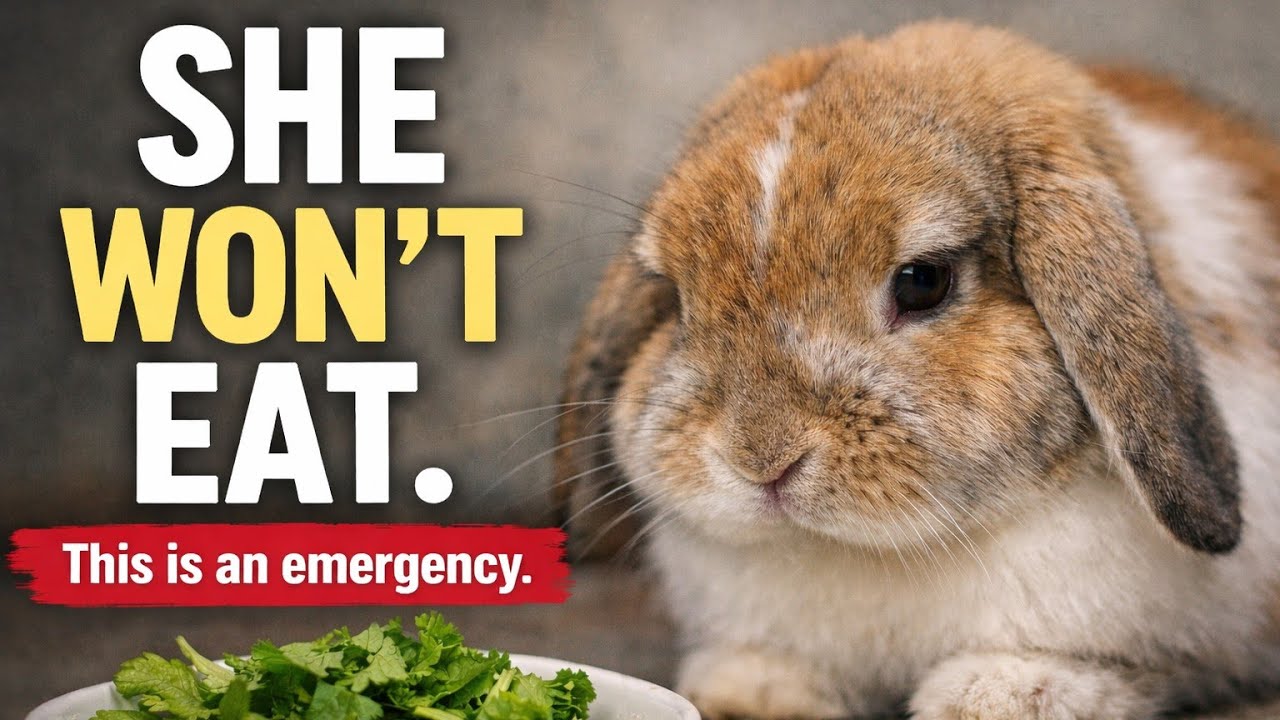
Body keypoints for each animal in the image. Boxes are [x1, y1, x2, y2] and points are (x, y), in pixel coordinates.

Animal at [554, 20, 1280, 720]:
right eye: (677, 301)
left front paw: (992, 697)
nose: (761, 459)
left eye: (923, 282)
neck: (877, 554)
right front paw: (752, 690)